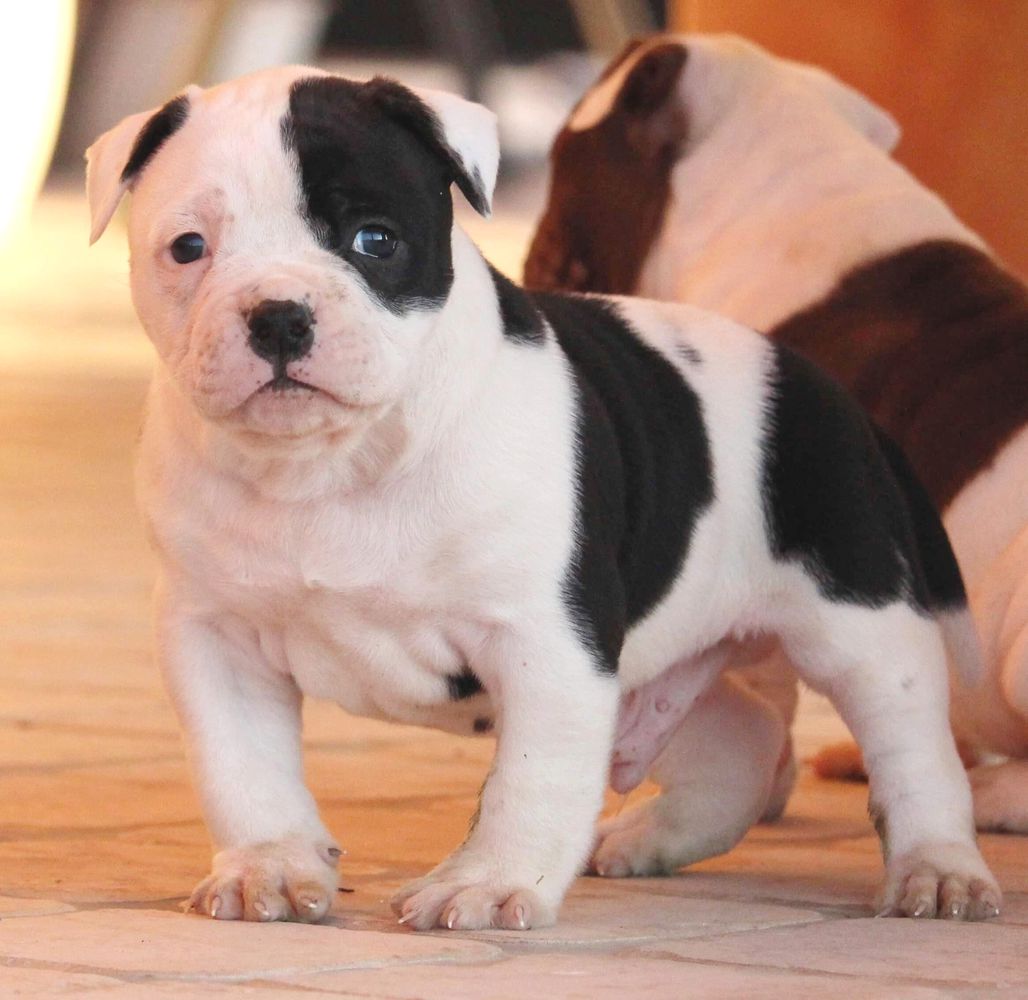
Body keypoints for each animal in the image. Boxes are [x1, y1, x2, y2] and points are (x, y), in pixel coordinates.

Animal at [86, 68, 995, 929]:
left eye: (375, 240)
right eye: (188, 247)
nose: (278, 315)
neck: (336, 461)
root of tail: (828, 390)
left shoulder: (548, 639)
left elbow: (532, 778)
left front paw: (488, 884)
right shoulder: (217, 639)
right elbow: (244, 767)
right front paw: (270, 865)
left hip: (861, 626)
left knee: (912, 750)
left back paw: (939, 870)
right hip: (662, 659)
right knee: (737, 734)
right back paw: (651, 838)